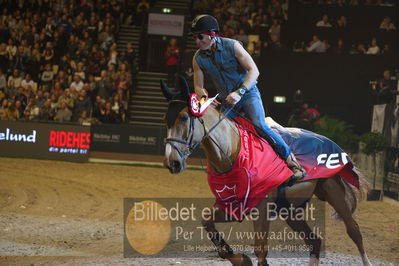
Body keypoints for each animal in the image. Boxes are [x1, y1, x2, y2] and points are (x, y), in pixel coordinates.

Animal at [160, 77, 372, 266]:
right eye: (165, 119)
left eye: (184, 117)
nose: (172, 162)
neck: (234, 152)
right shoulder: (233, 205)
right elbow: (207, 223)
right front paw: (239, 259)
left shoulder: (261, 209)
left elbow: (260, 251)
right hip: (291, 211)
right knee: (314, 241)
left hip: (334, 193)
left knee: (354, 231)